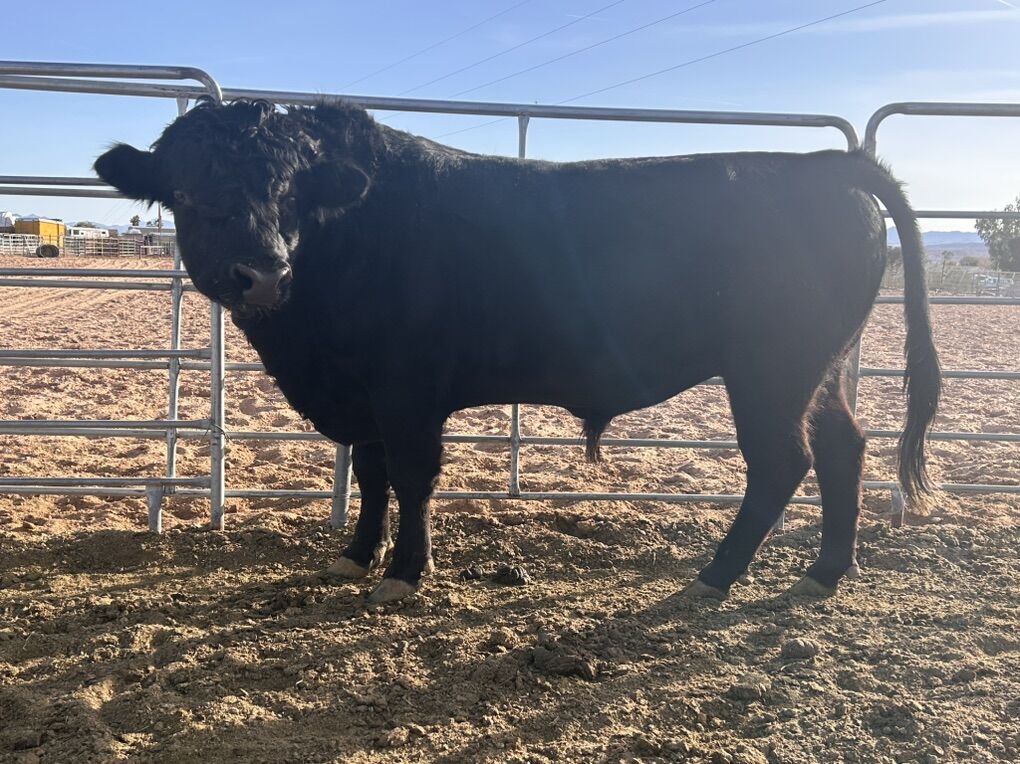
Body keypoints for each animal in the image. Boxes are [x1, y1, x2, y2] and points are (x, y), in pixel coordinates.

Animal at [95, 99, 940, 604]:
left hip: (770, 369)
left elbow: (413, 475)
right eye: (188, 192)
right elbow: (370, 474)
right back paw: (825, 571)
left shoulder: (406, 389)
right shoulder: (365, 396)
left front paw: (407, 572)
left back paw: (715, 577)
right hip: (817, 369)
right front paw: (358, 555)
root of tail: (819, 166)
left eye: (293, 192)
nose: (264, 271)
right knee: (843, 447)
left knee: (781, 462)